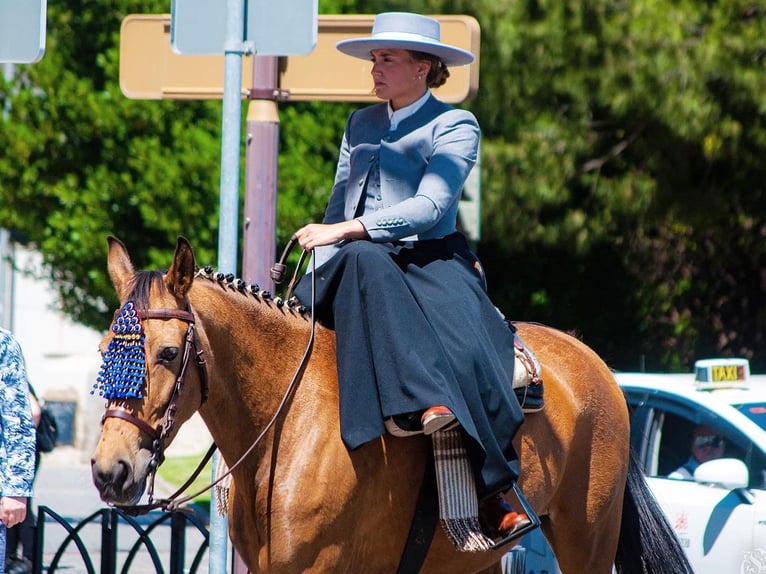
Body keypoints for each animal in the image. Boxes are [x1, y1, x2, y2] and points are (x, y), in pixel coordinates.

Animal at [91, 237, 696, 574]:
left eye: (169, 352)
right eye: (103, 350)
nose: (109, 470)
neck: (288, 422)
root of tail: (599, 366)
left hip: (587, 538)